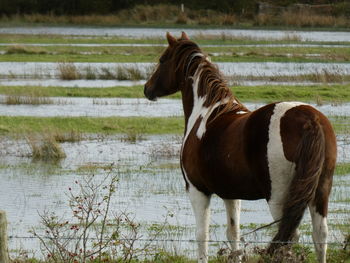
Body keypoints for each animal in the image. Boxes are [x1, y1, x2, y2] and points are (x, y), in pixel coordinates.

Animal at [144, 33, 336, 263]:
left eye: (162, 59)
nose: (147, 89)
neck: (206, 114)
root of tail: (310, 119)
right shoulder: (231, 194)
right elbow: (233, 234)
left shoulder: (197, 190)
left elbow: (202, 236)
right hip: (321, 191)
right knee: (320, 235)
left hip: (279, 197)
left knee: (289, 235)